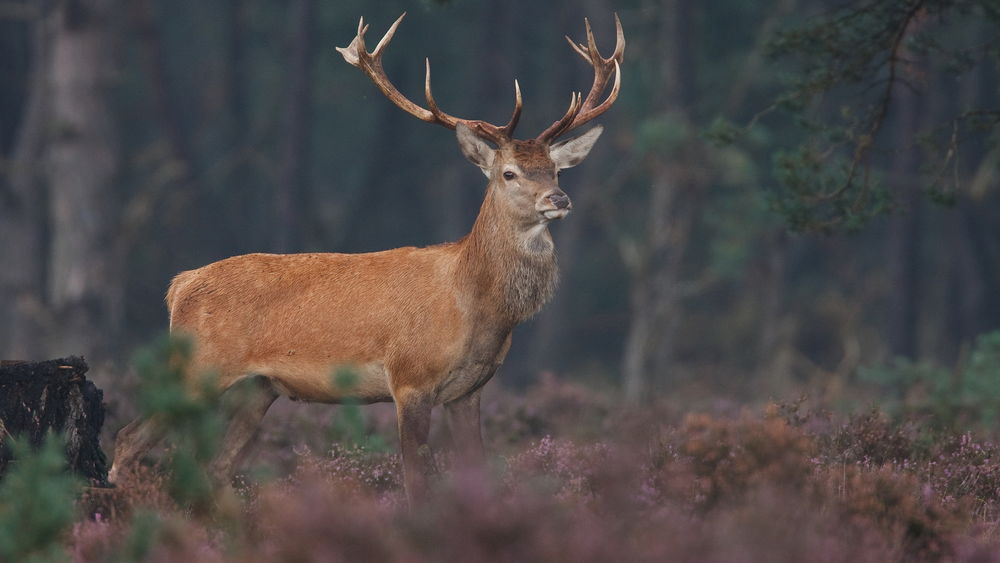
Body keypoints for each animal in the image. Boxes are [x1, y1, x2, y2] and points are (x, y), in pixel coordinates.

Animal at [109, 13, 623, 505]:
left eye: (556, 169)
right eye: (509, 173)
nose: (558, 199)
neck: (476, 306)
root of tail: (179, 285)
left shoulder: (470, 392)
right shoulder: (410, 378)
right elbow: (417, 483)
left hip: (258, 387)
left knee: (214, 466)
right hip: (198, 367)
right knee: (128, 438)